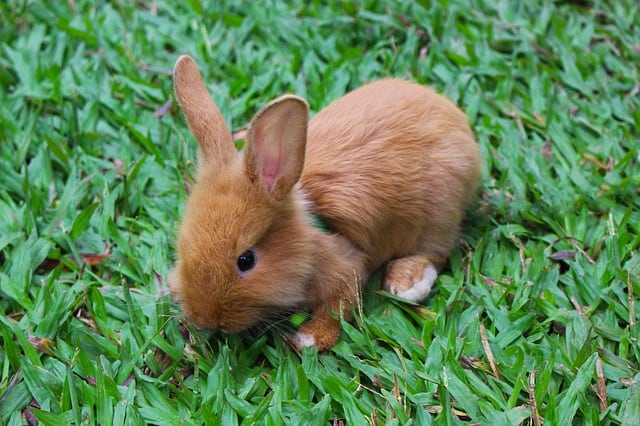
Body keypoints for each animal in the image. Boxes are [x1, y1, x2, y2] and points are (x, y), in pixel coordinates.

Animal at [167, 55, 481, 351]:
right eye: (182, 245)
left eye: (246, 260)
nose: (205, 319)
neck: (309, 238)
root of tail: (457, 122)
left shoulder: (347, 269)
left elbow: (336, 310)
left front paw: (308, 339)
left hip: (438, 214)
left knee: (435, 250)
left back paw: (407, 284)